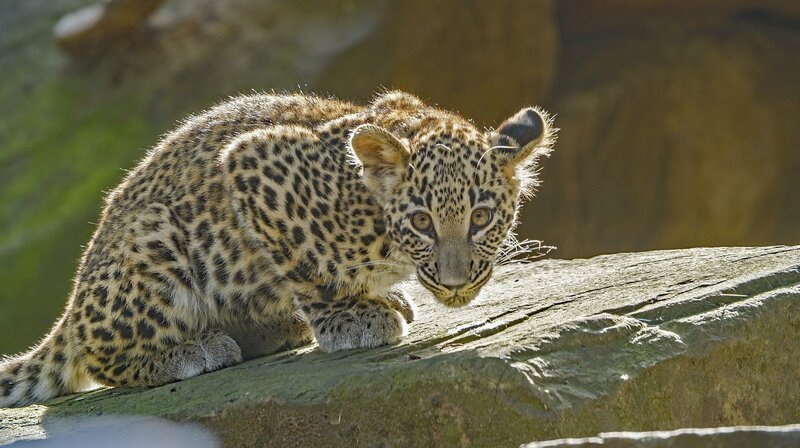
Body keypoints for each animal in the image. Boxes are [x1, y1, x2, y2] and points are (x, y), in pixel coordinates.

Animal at [0, 90, 555, 407]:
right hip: (152, 238)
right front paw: (351, 319)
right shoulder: (252, 164)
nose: (457, 282)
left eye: (480, 217)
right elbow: (311, 270)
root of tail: (72, 306)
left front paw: (379, 300)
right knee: (99, 356)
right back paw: (195, 350)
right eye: (422, 222)